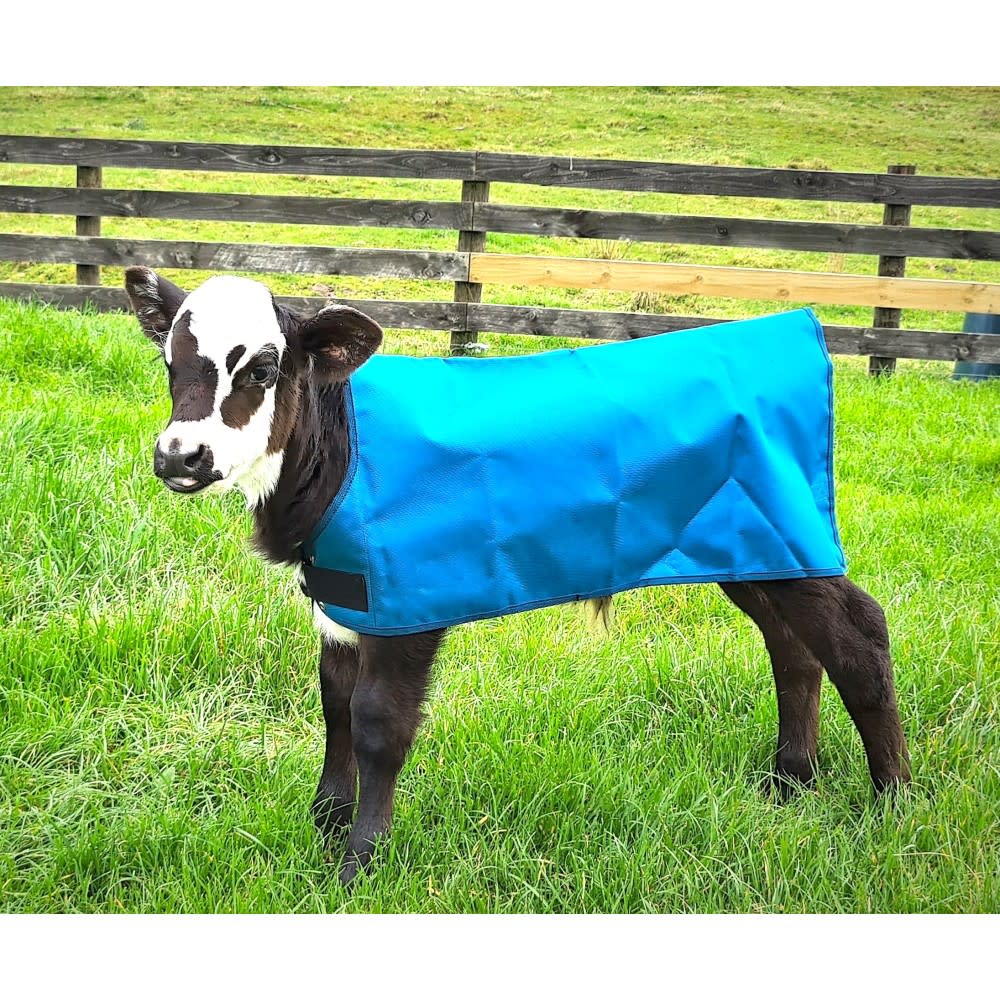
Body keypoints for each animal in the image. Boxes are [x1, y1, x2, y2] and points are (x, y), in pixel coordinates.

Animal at [123, 267, 911, 886]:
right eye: (171, 364)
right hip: (748, 545)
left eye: (261, 368)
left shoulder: (406, 604)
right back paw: (790, 780)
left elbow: (378, 724)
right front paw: (323, 826)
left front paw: (359, 863)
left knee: (858, 634)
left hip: (784, 525)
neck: (338, 456)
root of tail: (788, 328)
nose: (180, 456)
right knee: (793, 646)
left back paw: (894, 803)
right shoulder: (346, 601)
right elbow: (334, 706)